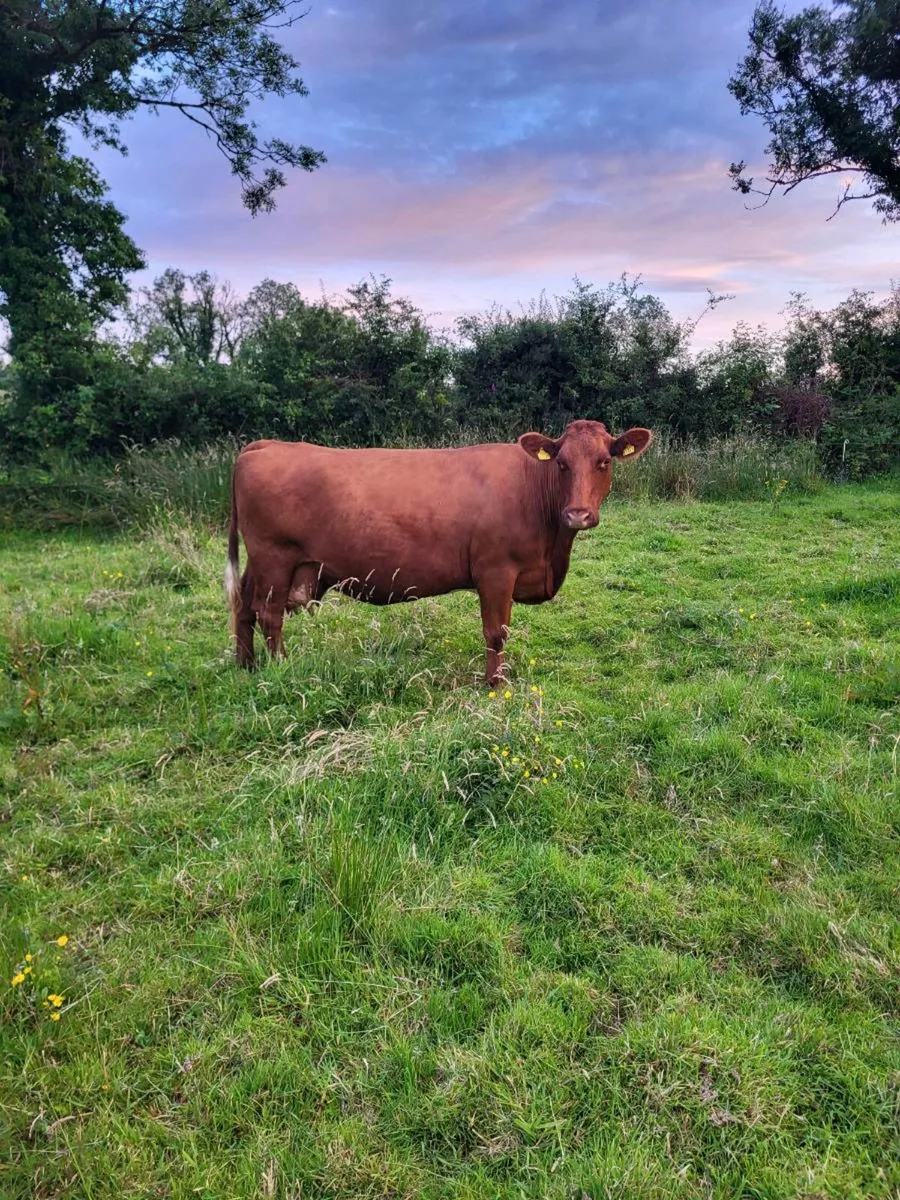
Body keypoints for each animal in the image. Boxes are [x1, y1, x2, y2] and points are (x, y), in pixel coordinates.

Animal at [225, 420, 652, 685]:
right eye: (562, 463)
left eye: (604, 461)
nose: (577, 514)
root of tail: (266, 445)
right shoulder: (496, 571)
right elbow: (496, 632)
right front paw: (496, 684)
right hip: (275, 558)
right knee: (269, 615)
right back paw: (280, 667)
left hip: (261, 562)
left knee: (244, 606)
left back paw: (246, 666)